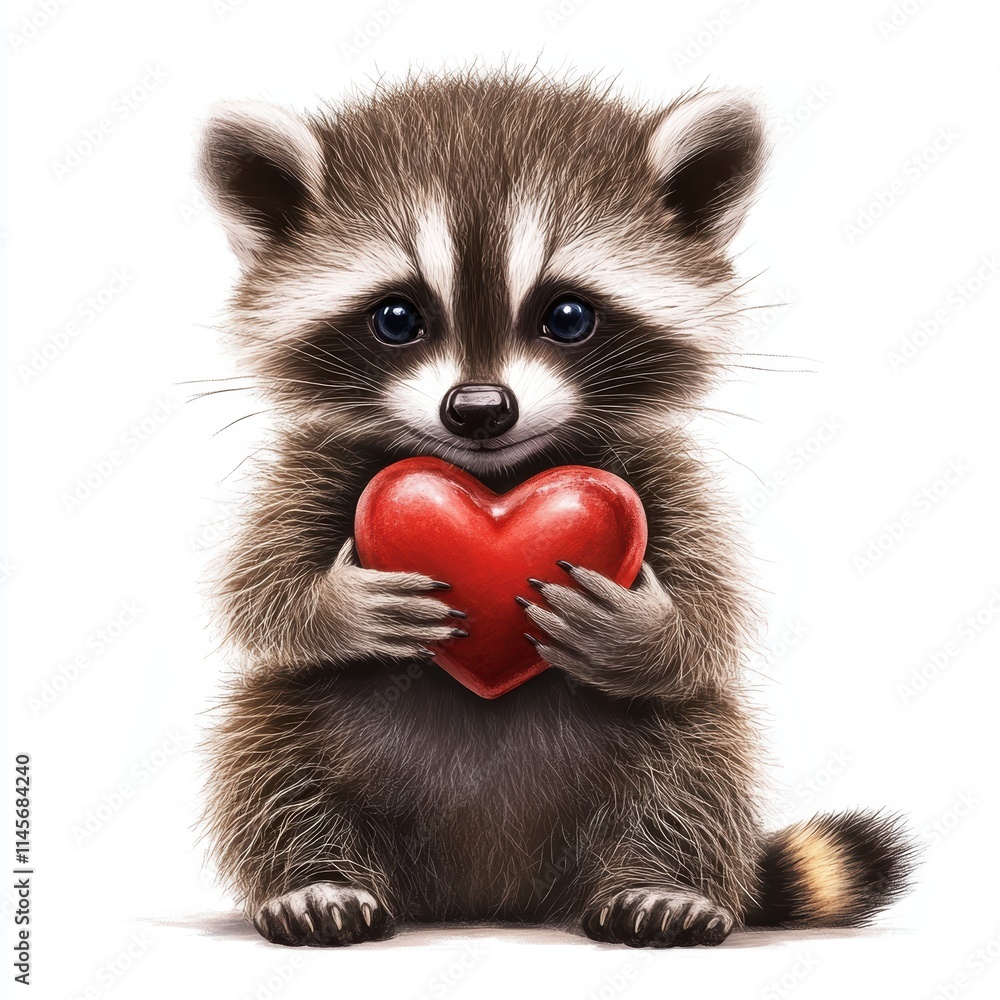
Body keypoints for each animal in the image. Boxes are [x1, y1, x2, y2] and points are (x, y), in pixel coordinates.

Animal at [195, 70, 913, 947]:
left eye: (567, 315)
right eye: (397, 317)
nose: (478, 408)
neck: (496, 473)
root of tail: (491, 894)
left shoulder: (656, 470)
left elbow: (710, 620)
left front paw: (647, 626)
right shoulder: (316, 466)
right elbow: (261, 593)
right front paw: (342, 602)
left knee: (698, 748)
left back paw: (660, 880)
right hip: (307, 741)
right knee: (268, 743)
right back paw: (316, 874)